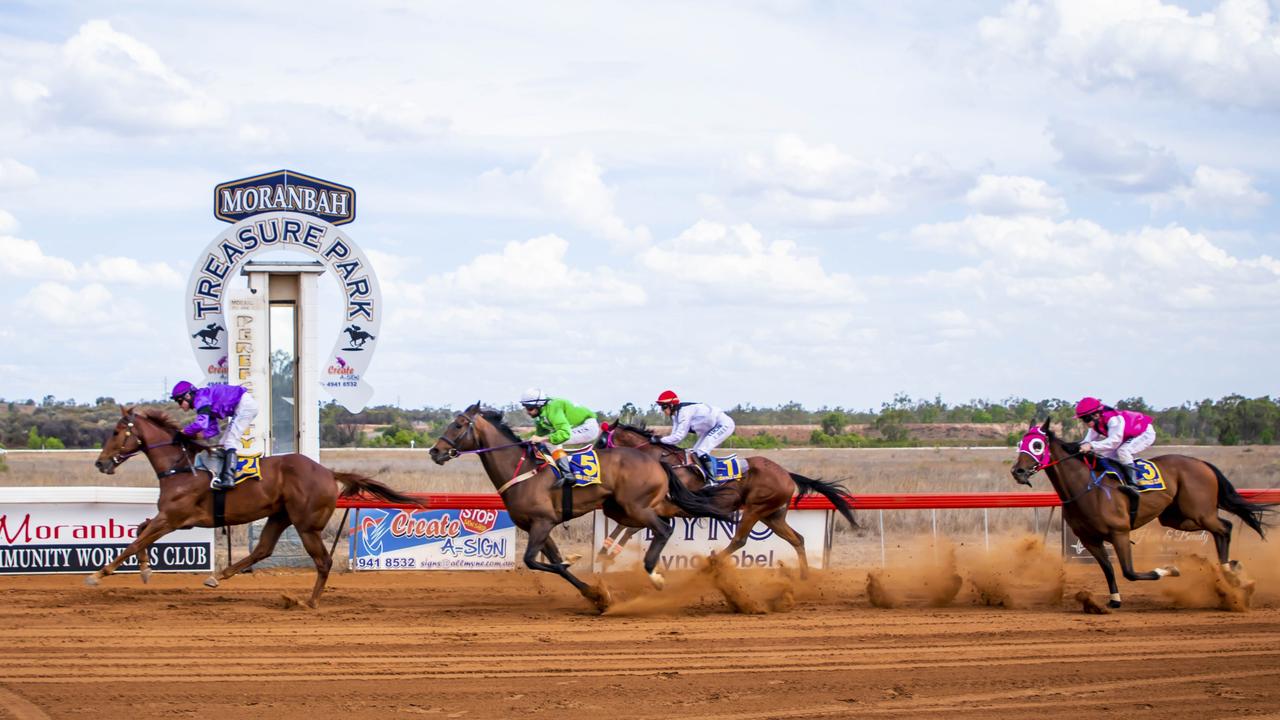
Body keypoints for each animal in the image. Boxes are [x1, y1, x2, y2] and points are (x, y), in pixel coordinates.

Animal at [92, 404, 417, 604]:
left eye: (116, 432)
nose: (100, 462)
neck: (180, 467)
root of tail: (328, 472)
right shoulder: (174, 519)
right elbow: (139, 531)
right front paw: (145, 570)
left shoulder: (173, 518)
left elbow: (136, 540)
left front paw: (99, 574)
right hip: (280, 516)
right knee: (263, 549)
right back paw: (219, 577)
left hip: (306, 525)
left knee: (322, 561)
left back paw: (310, 602)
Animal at [427, 399, 737, 607]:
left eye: (458, 424)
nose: (435, 452)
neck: (521, 469)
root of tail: (657, 460)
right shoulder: (536, 527)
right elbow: (555, 564)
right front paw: (595, 593)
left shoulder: (542, 522)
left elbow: (533, 561)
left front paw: (591, 582)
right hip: (629, 508)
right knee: (672, 520)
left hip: (636, 507)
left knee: (663, 529)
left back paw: (656, 576)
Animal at [593, 420, 855, 576]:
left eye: (601, 441)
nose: (594, 461)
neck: (660, 460)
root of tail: (786, 474)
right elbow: (625, 525)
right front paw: (606, 552)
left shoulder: (664, 505)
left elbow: (630, 527)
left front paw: (607, 554)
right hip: (772, 515)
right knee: (797, 539)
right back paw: (804, 576)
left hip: (755, 509)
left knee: (739, 540)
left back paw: (711, 563)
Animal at [1008, 415, 1269, 604]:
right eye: (1020, 443)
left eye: (1037, 444)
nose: (1017, 471)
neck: (1086, 487)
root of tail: (1202, 463)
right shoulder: (1089, 539)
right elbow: (1109, 569)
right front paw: (1114, 599)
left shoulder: (1119, 533)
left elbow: (1129, 572)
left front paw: (1170, 569)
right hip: (1177, 518)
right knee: (1223, 527)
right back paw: (1232, 570)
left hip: (1198, 512)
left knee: (1224, 527)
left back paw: (1230, 572)